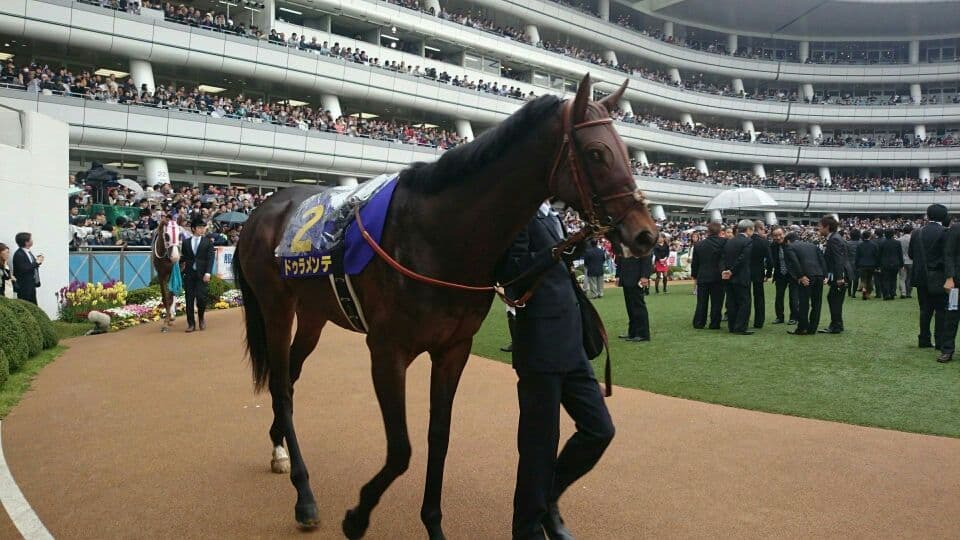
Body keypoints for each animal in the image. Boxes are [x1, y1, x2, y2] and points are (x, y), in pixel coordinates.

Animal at [233, 73, 659, 538]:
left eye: (627, 153)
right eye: (598, 153)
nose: (646, 234)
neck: (437, 235)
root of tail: (261, 211)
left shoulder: (454, 349)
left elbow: (439, 436)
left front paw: (433, 524)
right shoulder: (387, 350)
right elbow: (401, 449)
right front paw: (358, 515)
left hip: (313, 314)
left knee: (289, 378)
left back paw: (278, 449)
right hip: (276, 307)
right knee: (281, 386)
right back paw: (304, 495)